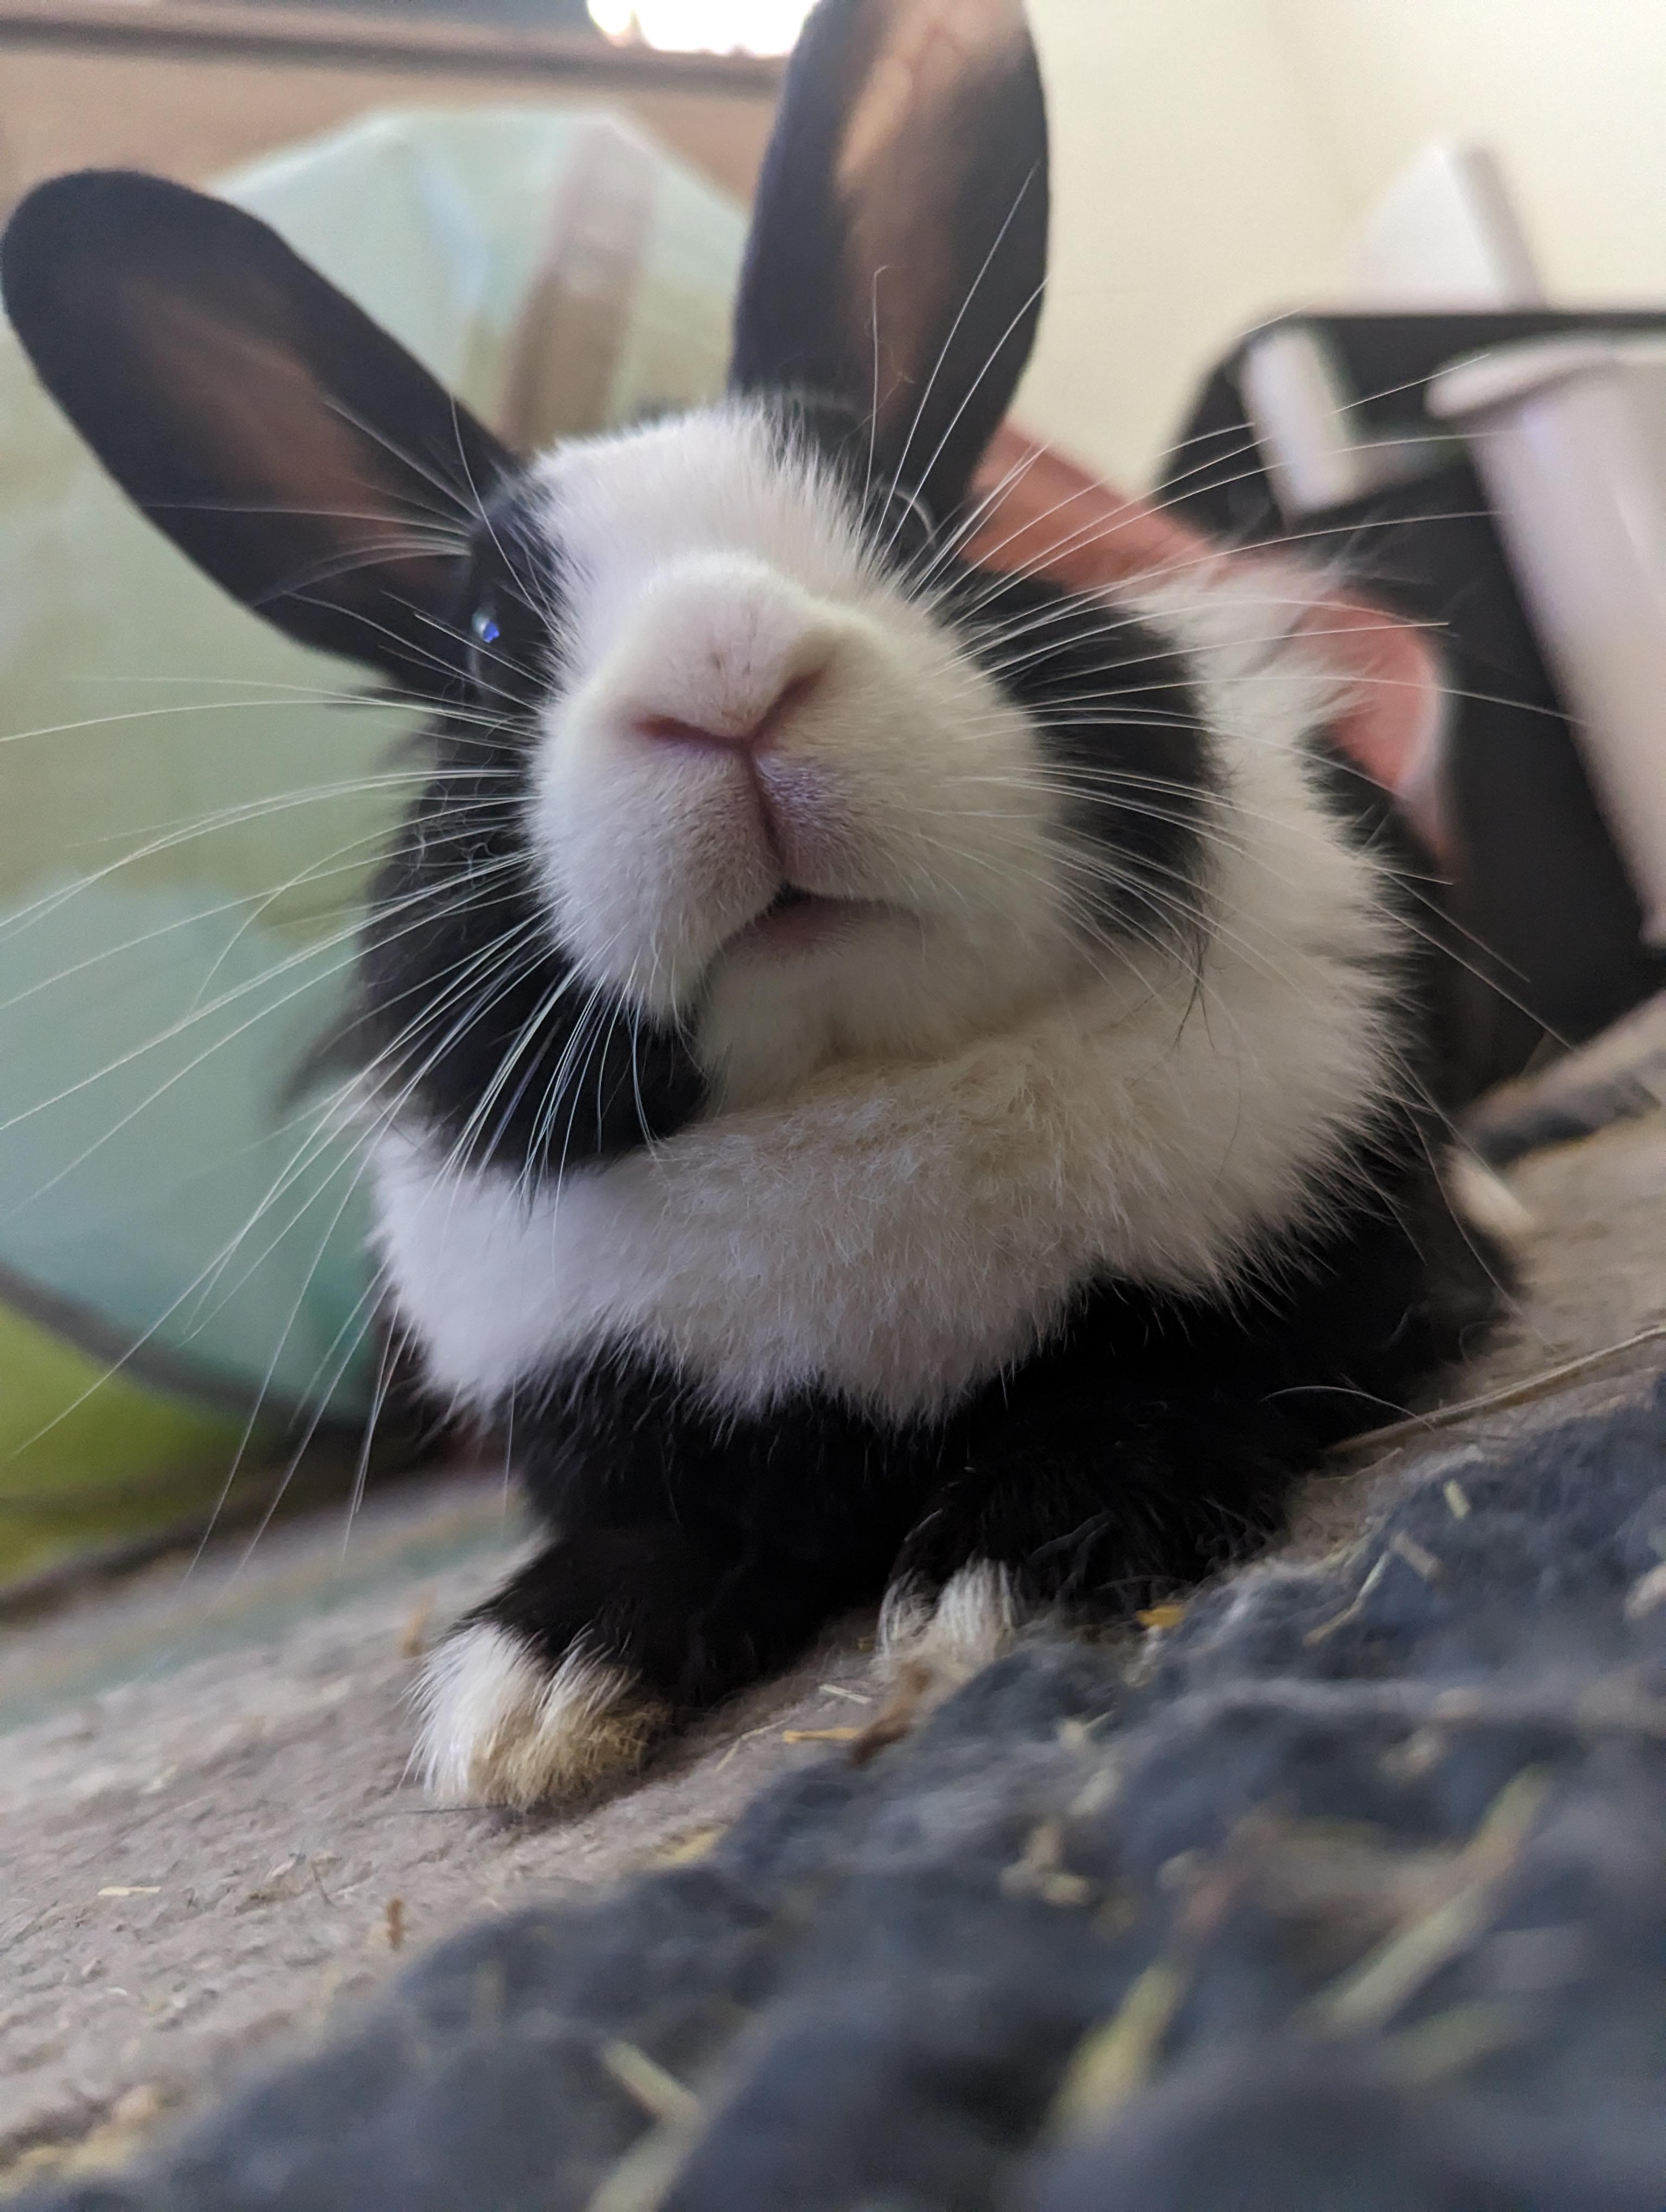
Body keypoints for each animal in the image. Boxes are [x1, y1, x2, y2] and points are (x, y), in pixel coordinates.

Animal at [0, 0, 1505, 1810]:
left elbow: (1157, 1385)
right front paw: (529, 1697)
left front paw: (1011, 1572)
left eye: (914, 520)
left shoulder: (1308, 1292)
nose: (724, 671)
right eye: (489, 637)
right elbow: (657, 1535)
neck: (847, 1076)